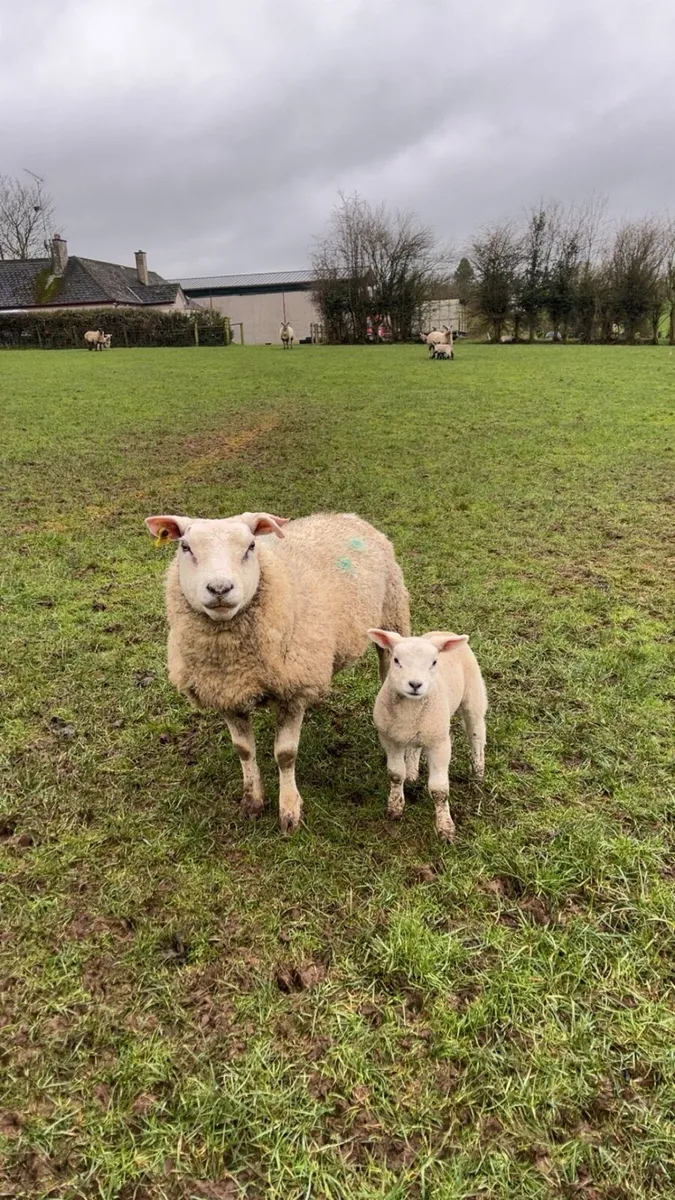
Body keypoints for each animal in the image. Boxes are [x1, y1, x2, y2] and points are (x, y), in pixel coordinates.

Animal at [145, 510, 410, 834]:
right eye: (185, 547)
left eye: (250, 547)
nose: (220, 589)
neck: (235, 663)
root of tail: (346, 515)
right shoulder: (226, 693)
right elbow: (243, 750)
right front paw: (252, 801)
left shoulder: (292, 694)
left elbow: (285, 755)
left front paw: (289, 811)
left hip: (392, 617)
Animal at [367, 629, 487, 841]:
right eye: (396, 660)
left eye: (434, 662)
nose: (415, 684)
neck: (410, 710)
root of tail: (444, 631)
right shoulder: (390, 739)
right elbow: (396, 774)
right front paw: (395, 807)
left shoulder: (440, 743)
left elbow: (439, 790)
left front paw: (445, 828)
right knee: (415, 748)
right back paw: (412, 774)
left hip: (473, 696)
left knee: (477, 735)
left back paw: (478, 774)